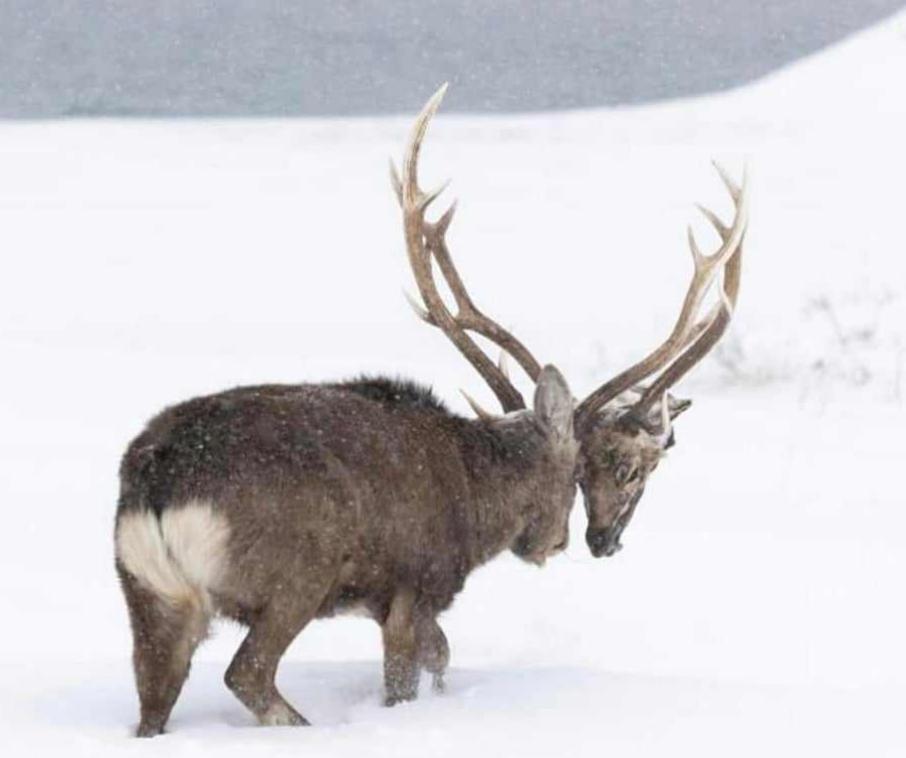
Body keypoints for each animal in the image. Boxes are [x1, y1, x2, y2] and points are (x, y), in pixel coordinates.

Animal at [115, 83, 748, 736]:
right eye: (587, 468)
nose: (566, 542)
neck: (476, 497)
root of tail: (160, 489)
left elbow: (441, 657)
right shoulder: (414, 584)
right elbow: (414, 673)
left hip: (148, 591)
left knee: (153, 699)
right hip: (297, 572)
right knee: (248, 672)